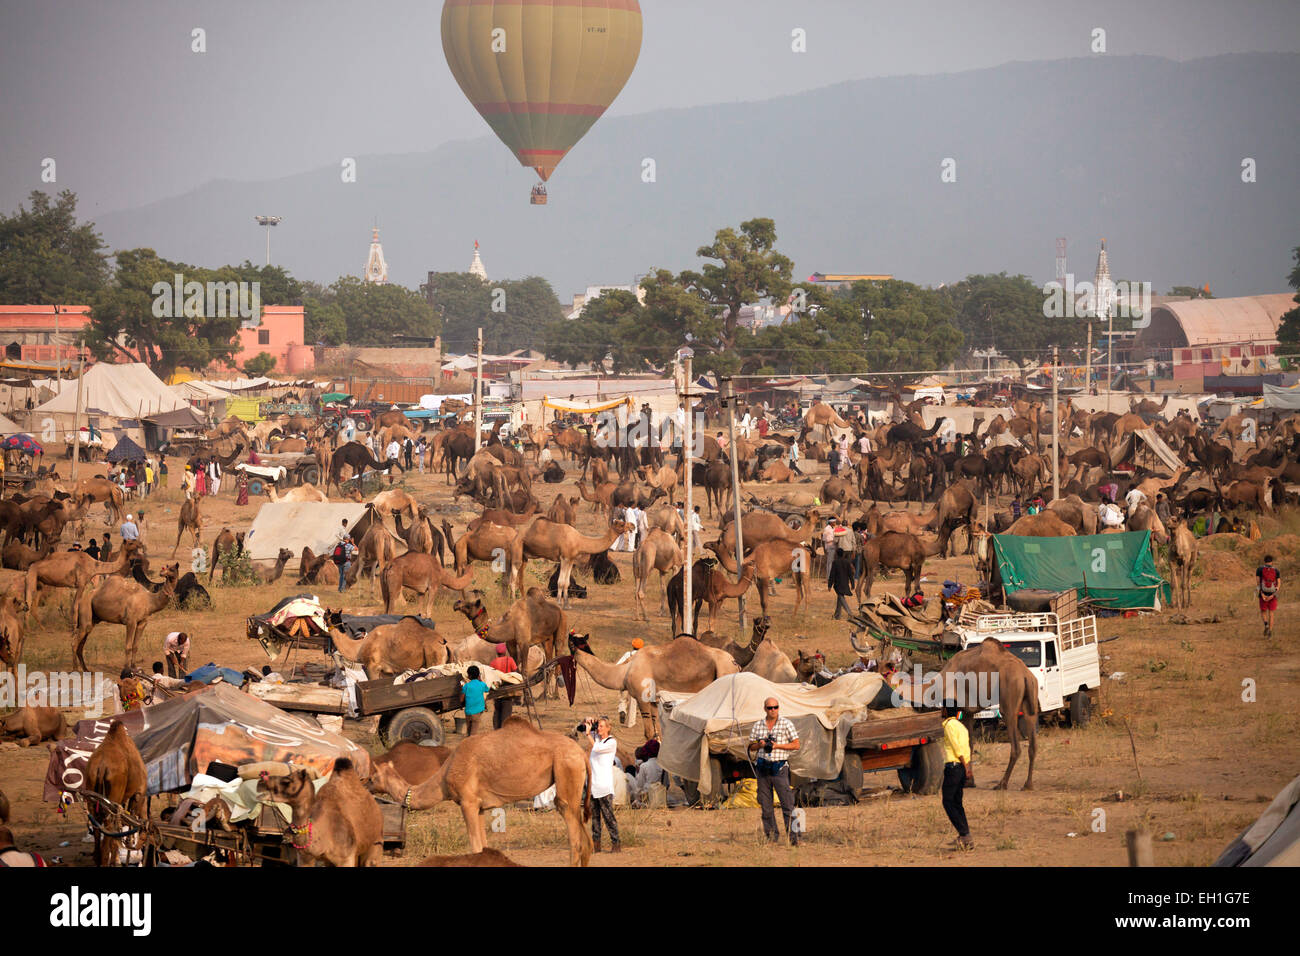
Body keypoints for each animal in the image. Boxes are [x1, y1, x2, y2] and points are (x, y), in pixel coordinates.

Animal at [83, 723, 148, 868]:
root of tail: (101, 767)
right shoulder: (139, 792)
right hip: (112, 798)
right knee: (109, 826)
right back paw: (106, 861)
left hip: (92, 793)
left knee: (97, 824)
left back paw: (98, 858)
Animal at [371, 717, 595, 868]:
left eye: (373, 777)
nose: (366, 784)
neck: (445, 775)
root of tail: (581, 753)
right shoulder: (479, 806)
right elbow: (483, 846)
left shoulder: (467, 802)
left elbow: (475, 846)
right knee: (587, 842)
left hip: (566, 767)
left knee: (571, 826)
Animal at [566, 634, 738, 738]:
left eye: (580, 642)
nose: (587, 651)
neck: (625, 670)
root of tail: (735, 662)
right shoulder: (654, 701)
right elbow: (658, 732)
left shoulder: (643, 699)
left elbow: (648, 733)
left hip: (724, 675)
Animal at [935, 642, 1034, 790]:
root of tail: (1024, 674)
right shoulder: (969, 712)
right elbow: (969, 743)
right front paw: (970, 782)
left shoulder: (963, 706)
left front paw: (967, 782)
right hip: (1031, 696)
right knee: (1032, 743)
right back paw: (1028, 785)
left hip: (1009, 697)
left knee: (1016, 746)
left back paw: (1002, 784)